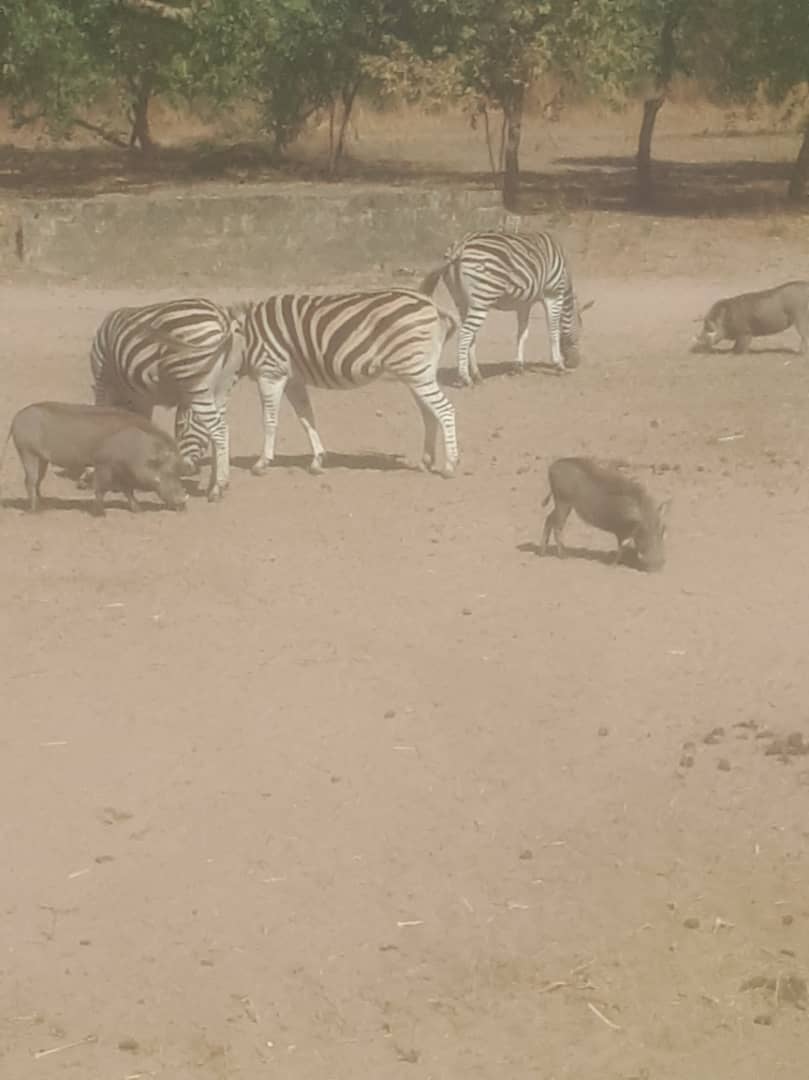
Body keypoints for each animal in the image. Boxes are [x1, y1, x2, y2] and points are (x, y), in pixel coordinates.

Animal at [0, 401, 187, 513]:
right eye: (170, 471)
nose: (184, 505)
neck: (139, 446)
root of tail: (16, 417)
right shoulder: (103, 464)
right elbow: (101, 488)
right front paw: (100, 513)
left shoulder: (122, 470)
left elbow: (128, 490)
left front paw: (137, 509)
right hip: (27, 453)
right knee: (30, 481)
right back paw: (34, 511)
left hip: (42, 459)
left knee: (37, 481)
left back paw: (44, 504)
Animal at [88, 298, 247, 500]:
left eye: (180, 425)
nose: (185, 469)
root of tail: (222, 317)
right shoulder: (142, 397)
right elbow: (142, 423)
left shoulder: (103, 380)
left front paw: (91, 472)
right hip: (222, 387)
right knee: (221, 429)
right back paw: (215, 484)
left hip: (196, 383)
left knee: (219, 429)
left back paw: (218, 486)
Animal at [239, 288, 460, 477]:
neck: (247, 338)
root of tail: (430, 303)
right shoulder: (294, 379)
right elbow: (306, 418)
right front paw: (317, 460)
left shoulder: (270, 373)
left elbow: (269, 420)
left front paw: (262, 463)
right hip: (419, 372)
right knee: (429, 413)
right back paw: (425, 462)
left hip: (415, 370)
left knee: (445, 409)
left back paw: (450, 465)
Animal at [419, 230, 593, 387]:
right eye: (580, 333)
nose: (575, 363)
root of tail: (461, 244)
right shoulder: (553, 293)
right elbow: (553, 330)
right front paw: (558, 365)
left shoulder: (524, 304)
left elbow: (522, 334)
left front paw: (518, 367)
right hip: (482, 298)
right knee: (465, 334)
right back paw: (465, 378)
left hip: (462, 301)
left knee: (470, 337)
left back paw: (476, 375)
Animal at [539, 457, 669, 571]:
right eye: (642, 530)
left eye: (663, 529)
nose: (658, 568)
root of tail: (552, 466)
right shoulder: (621, 531)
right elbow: (621, 548)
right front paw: (614, 565)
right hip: (563, 503)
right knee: (557, 527)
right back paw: (563, 556)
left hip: (564, 505)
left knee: (549, 519)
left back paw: (543, 552)